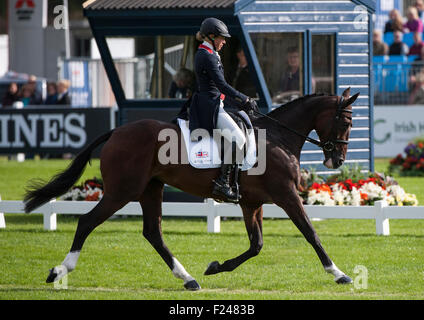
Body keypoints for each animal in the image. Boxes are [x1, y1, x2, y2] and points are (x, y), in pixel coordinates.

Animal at [24, 87, 358, 290]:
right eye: (345, 122)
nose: (337, 159)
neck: (277, 138)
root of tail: (117, 131)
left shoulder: (251, 202)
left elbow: (256, 245)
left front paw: (216, 267)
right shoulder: (285, 195)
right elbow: (310, 233)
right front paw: (339, 273)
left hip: (150, 189)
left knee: (153, 232)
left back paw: (188, 278)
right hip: (123, 191)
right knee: (87, 221)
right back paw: (59, 271)